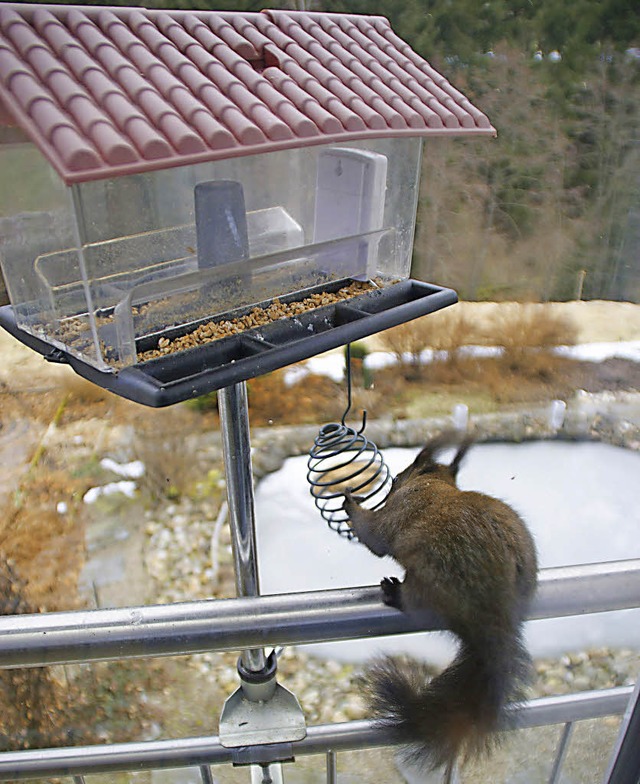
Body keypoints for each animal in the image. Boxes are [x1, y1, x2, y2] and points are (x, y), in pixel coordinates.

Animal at [342, 432, 536, 780]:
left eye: (399, 477)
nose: (394, 481)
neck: (436, 484)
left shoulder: (399, 511)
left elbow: (375, 535)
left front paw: (352, 502)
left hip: (429, 585)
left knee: (415, 603)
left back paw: (394, 593)